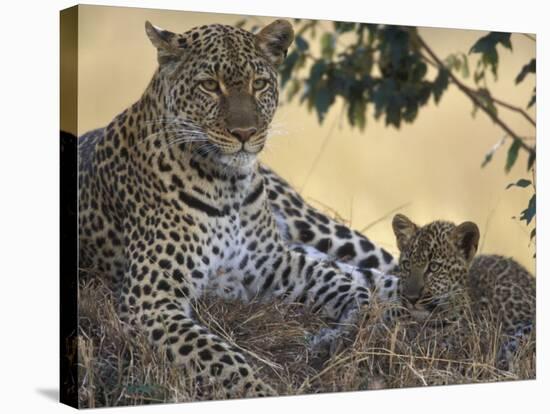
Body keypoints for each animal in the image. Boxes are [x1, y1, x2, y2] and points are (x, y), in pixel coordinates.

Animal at [77, 18, 398, 398]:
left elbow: (345, 287)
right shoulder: (150, 300)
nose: (245, 133)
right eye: (209, 86)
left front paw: (353, 322)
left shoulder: (275, 263)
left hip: (319, 228)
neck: (226, 186)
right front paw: (260, 392)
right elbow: (216, 354)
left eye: (259, 84)